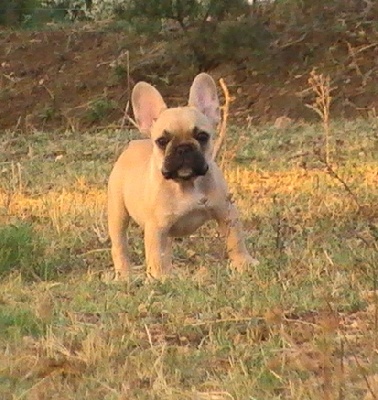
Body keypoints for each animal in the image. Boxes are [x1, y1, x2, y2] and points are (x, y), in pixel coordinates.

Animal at [108, 73, 258, 280]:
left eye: (202, 136)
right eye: (162, 141)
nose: (183, 148)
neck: (186, 183)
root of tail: (134, 144)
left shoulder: (226, 212)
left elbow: (235, 240)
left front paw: (244, 263)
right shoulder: (156, 228)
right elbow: (156, 254)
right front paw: (159, 278)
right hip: (117, 214)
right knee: (120, 245)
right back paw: (124, 275)